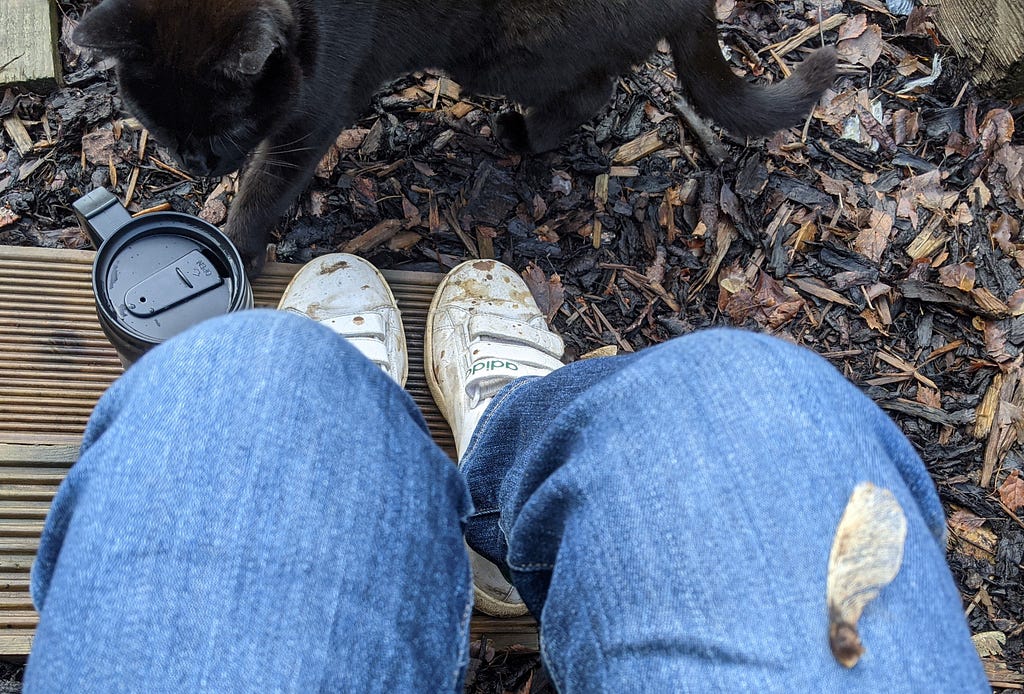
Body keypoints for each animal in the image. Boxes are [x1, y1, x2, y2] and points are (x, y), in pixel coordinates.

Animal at [75, 0, 835, 276]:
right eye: (157, 125)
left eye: (229, 125)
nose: (195, 161)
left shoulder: (311, 116)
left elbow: (266, 183)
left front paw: (236, 241)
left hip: (501, 52)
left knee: (593, 88)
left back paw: (520, 133)